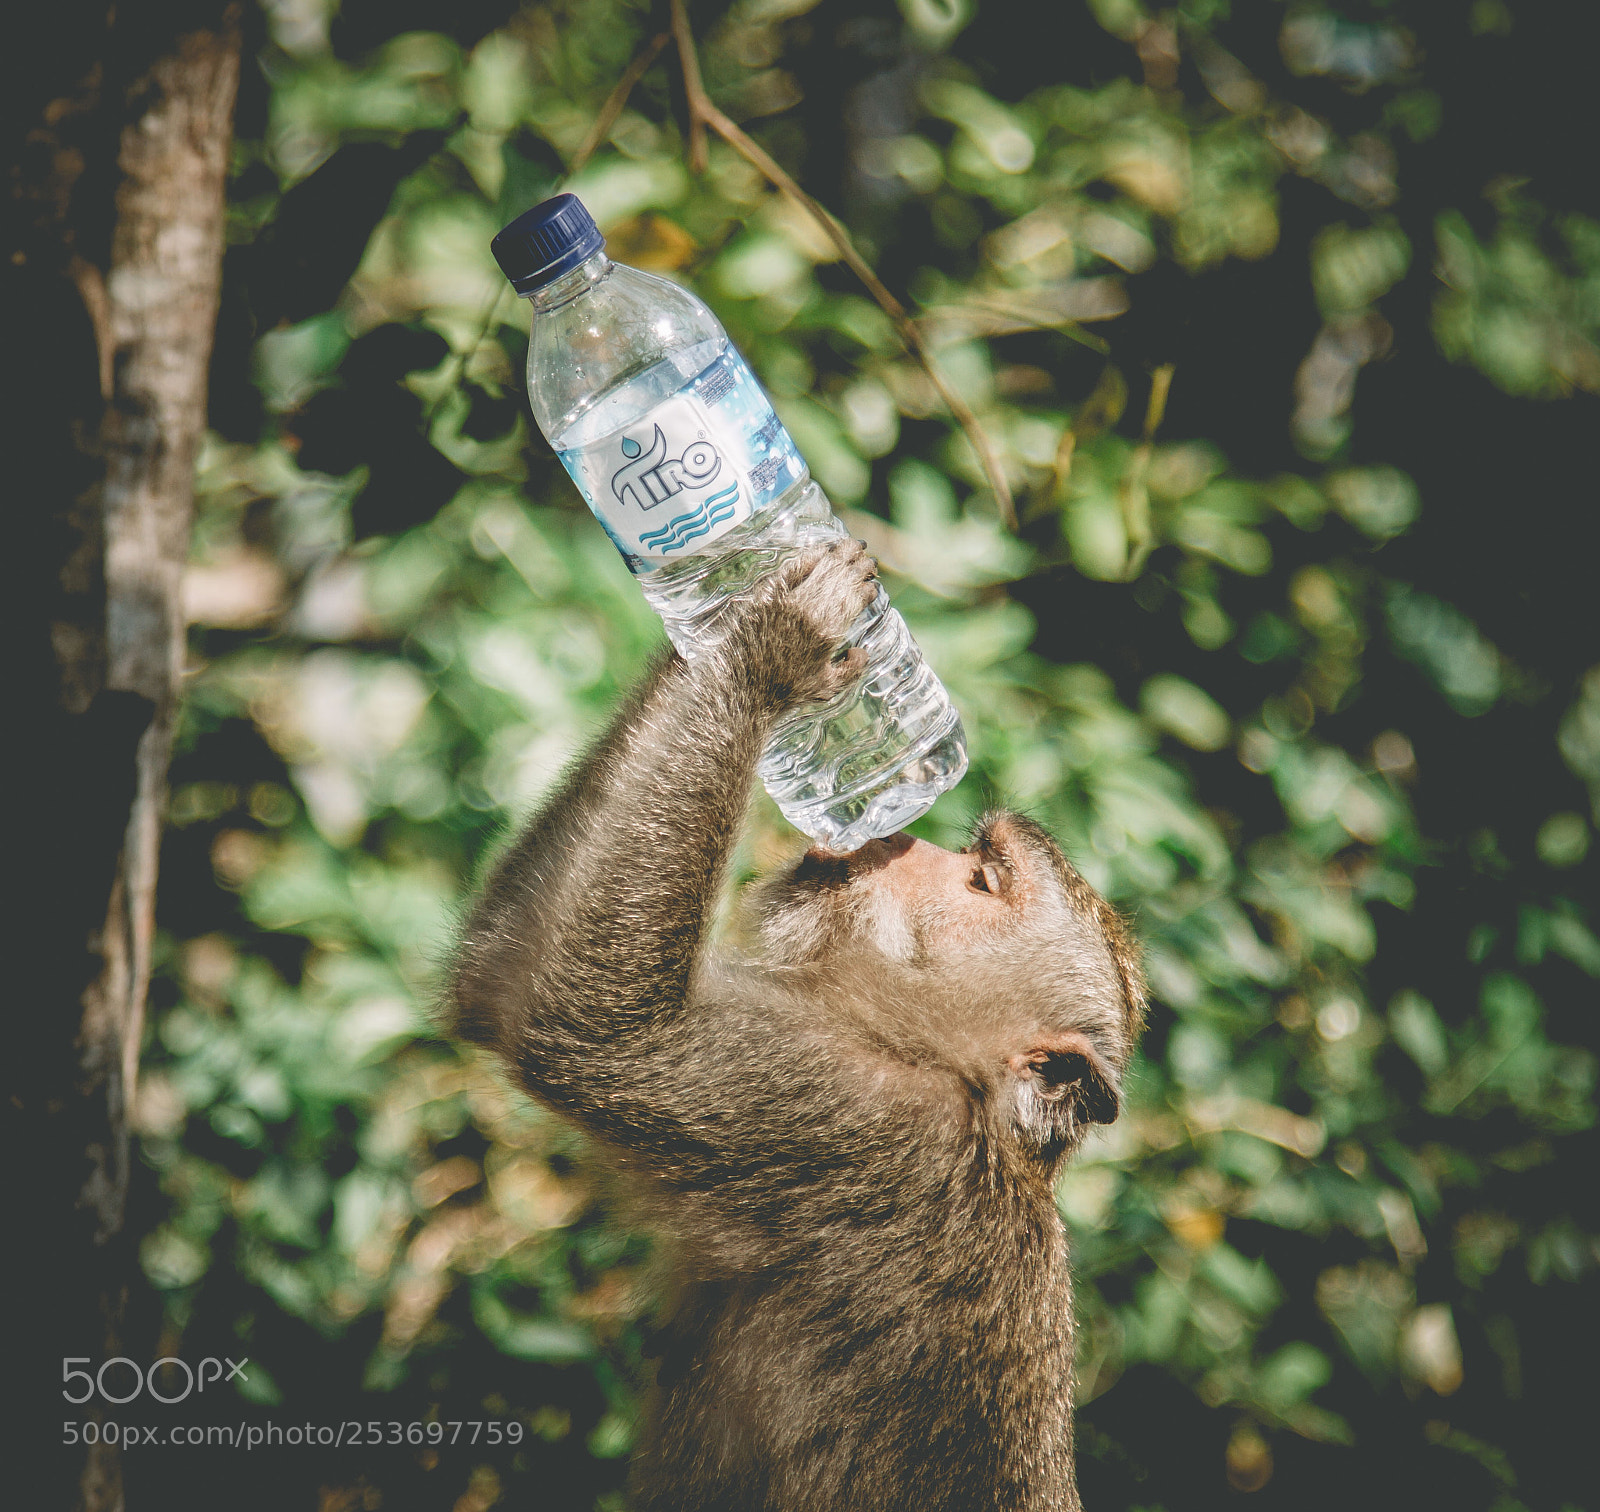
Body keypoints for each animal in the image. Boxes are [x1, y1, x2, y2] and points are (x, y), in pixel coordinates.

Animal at [448, 538, 1146, 1512]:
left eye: (982, 880)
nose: (894, 838)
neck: (962, 1081)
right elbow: (500, 985)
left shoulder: (860, 1122)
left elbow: (591, 1034)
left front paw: (772, 650)